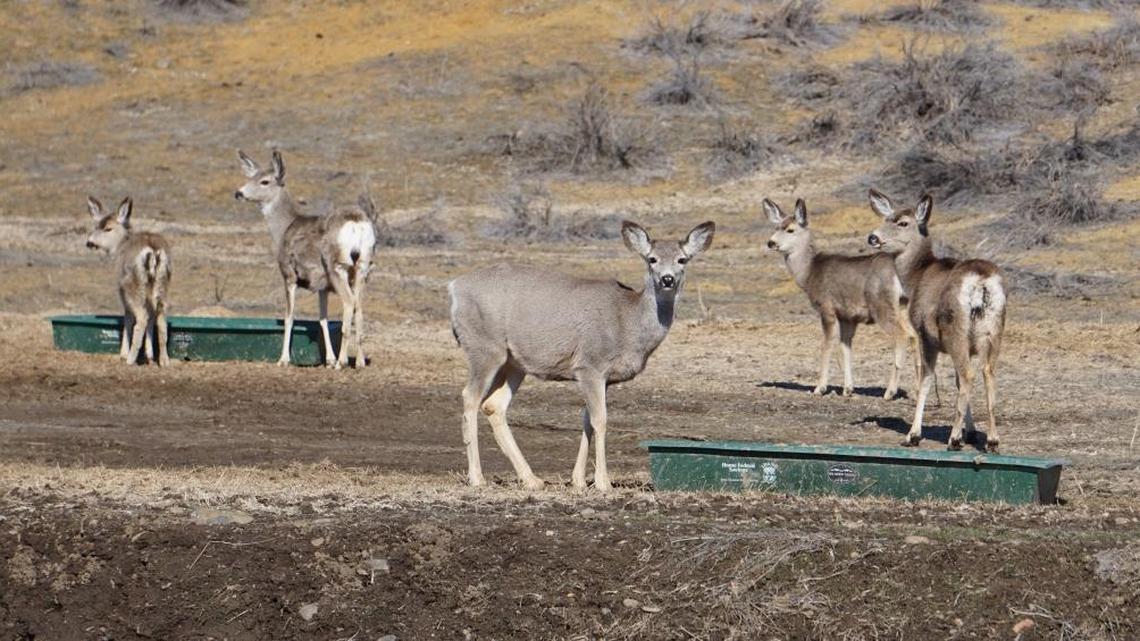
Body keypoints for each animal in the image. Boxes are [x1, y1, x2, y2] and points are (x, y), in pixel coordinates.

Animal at [85, 196, 172, 367]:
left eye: (108, 228)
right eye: (96, 226)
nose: (89, 242)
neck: (119, 247)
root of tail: (153, 251)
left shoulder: (121, 288)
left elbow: (127, 317)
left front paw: (123, 354)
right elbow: (151, 316)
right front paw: (149, 355)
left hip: (133, 284)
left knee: (141, 317)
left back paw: (130, 359)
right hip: (161, 282)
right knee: (160, 318)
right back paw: (164, 361)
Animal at [234, 150, 377, 369]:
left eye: (265, 181)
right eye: (251, 177)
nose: (239, 193)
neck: (284, 228)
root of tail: (356, 223)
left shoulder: (289, 274)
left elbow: (289, 317)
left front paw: (283, 359)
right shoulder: (322, 286)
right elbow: (322, 319)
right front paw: (328, 359)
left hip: (338, 265)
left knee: (349, 303)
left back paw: (342, 362)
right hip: (362, 266)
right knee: (359, 307)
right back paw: (359, 361)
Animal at [448, 220, 716, 492]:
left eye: (682, 259)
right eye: (652, 259)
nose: (667, 279)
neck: (627, 321)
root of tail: (454, 287)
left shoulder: (604, 377)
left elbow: (587, 419)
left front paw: (578, 480)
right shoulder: (590, 365)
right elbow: (600, 420)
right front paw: (603, 482)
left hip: (514, 362)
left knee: (494, 405)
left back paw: (532, 479)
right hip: (484, 346)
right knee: (470, 397)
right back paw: (477, 478)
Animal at [764, 197, 915, 399]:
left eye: (790, 230)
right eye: (776, 227)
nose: (770, 242)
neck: (809, 273)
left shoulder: (826, 308)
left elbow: (826, 346)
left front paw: (819, 388)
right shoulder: (847, 317)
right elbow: (845, 350)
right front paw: (848, 389)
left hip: (882, 305)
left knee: (903, 335)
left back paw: (890, 392)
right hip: (904, 306)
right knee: (916, 336)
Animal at [866, 189, 1007, 452]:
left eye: (903, 222)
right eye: (885, 218)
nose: (872, 237)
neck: (916, 276)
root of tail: (981, 282)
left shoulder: (925, 335)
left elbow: (926, 379)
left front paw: (913, 435)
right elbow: (956, 382)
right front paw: (971, 433)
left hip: (955, 329)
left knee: (968, 375)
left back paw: (953, 440)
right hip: (993, 330)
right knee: (987, 372)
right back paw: (992, 440)